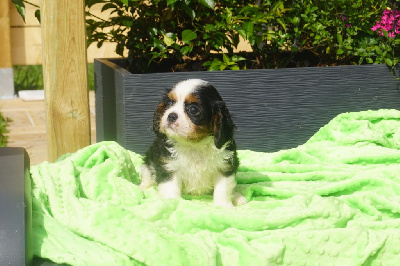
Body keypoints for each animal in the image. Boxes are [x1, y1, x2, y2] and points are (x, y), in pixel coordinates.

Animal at [141, 79, 247, 208]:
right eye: (169, 103)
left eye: (193, 110)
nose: (171, 115)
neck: (194, 145)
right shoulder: (168, 166)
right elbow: (171, 189)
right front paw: (173, 204)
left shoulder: (225, 166)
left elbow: (223, 189)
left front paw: (223, 206)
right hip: (148, 162)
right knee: (147, 176)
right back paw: (143, 188)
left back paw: (236, 196)